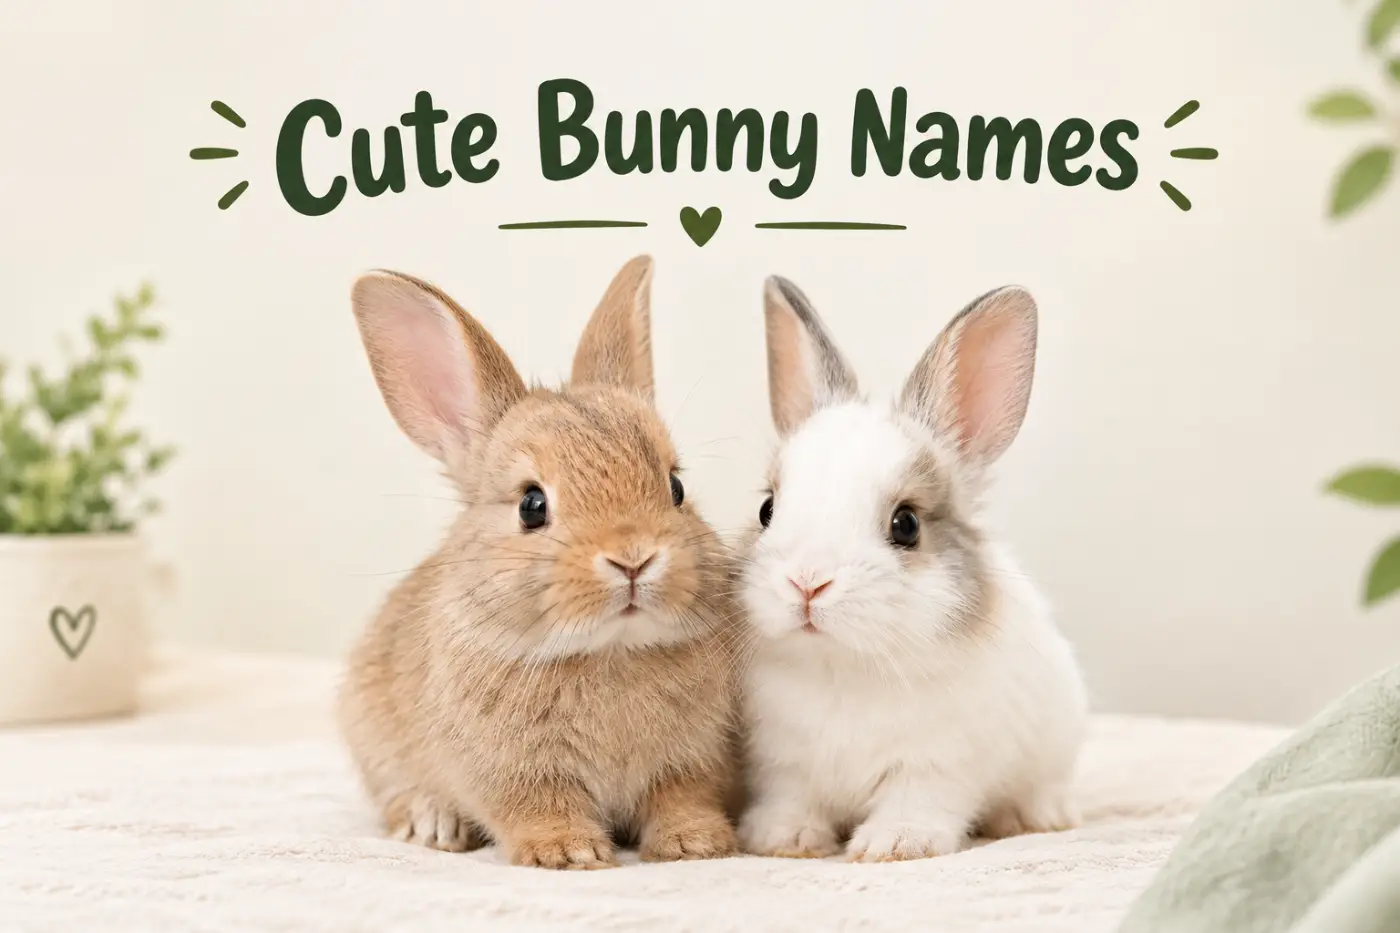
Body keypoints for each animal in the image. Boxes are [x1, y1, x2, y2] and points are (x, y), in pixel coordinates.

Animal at [337, 256, 743, 870]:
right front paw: (568, 852)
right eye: (532, 505)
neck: (607, 652)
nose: (633, 559)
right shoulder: (513, 773)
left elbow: (681, 798)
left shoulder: (694, 759)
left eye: (675, 488)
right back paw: (434, 824)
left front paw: (695, 843)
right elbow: (538, 807)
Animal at [735, 276, 1089, 863]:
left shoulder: (937, 765)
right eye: (766, 510)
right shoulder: (783, 765)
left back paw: (1036, 816)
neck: (843, 667)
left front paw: (894, 844)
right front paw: (782, 839)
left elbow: (916, 799)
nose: (807, 583)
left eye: (906, 524)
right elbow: (793, 799)